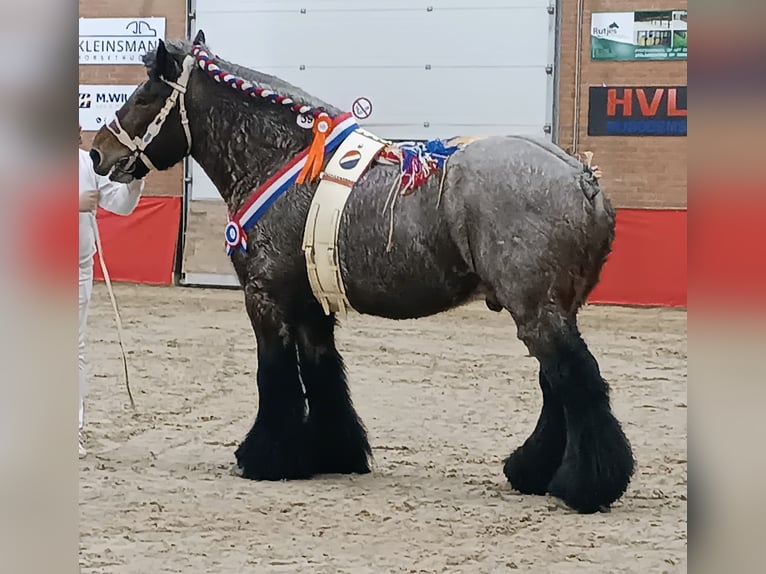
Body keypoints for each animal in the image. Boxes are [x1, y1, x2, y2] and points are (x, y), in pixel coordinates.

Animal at [89, 31, 635, 514]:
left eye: (145, 95)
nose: (98, 153)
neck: (282, 158)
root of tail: (582, 179)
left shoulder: (265, 299)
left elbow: (275, 376)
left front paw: (265, 457)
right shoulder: (310, 307)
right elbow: (322, 372)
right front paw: (334, 453)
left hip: (536, 309)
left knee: (577, 381)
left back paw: (585, 487)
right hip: (550, 309)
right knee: (556, 384)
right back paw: (533, 472)